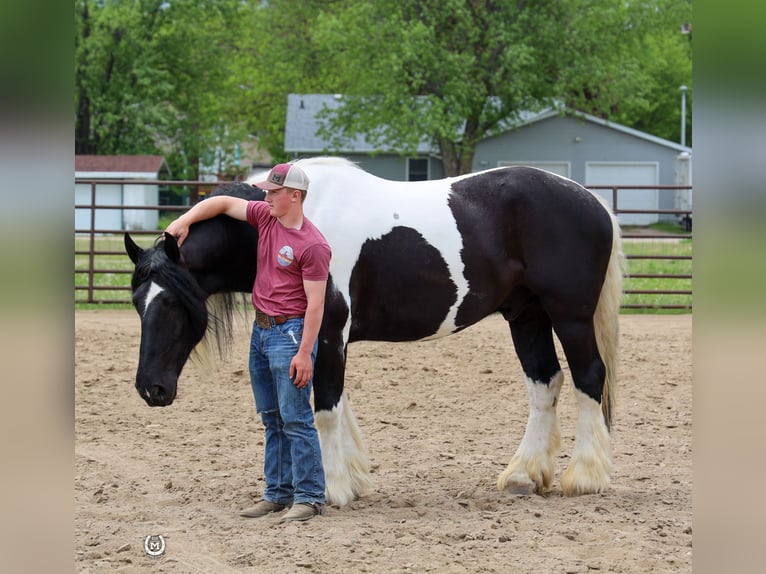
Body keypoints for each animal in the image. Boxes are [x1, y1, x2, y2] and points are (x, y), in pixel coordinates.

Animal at [126, 158, 628, 508]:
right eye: (137, 303)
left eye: (172, 303)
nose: (151, 388)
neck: (303, 217)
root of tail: (591, 201)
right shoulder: (327, 339)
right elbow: (337, 405)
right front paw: (352, 478)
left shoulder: (327, 330)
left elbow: (325, 410)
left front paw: (332, 490)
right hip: (526, 316)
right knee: (545, 383)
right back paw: (525, 476)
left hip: (570, 316)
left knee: (588, 377)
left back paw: (585, 476)